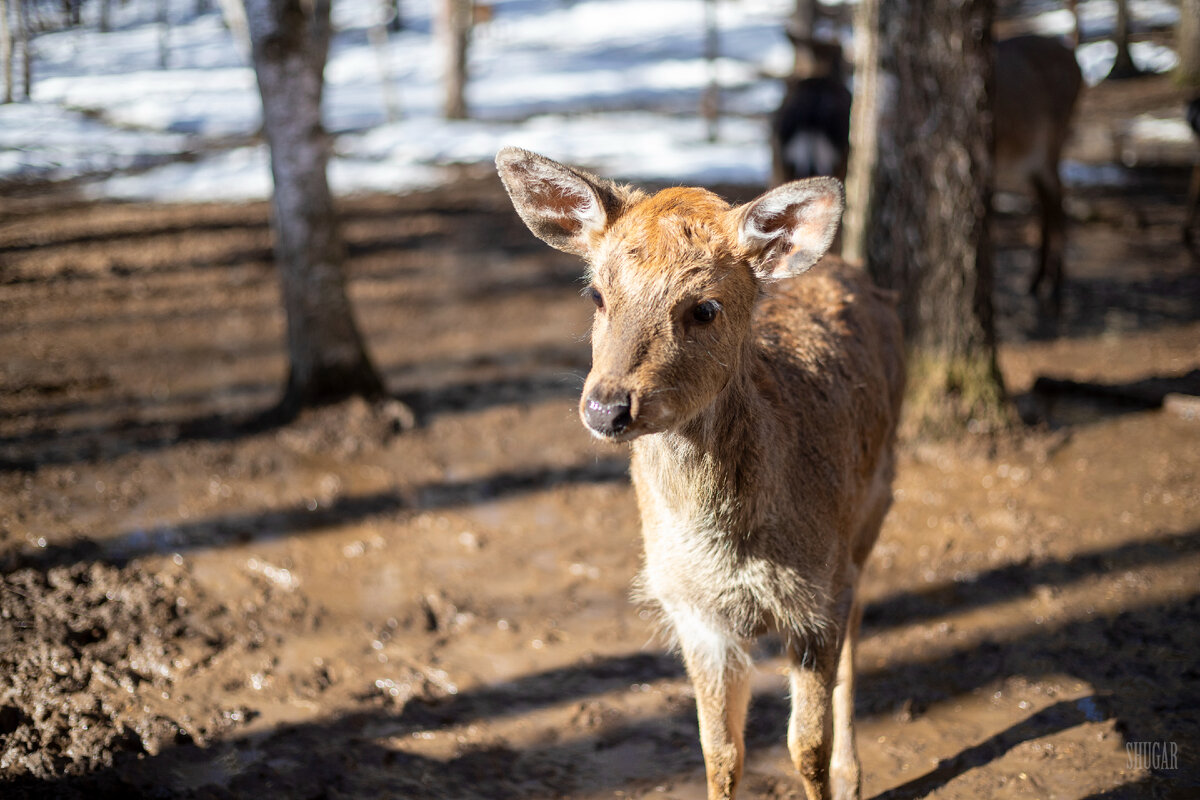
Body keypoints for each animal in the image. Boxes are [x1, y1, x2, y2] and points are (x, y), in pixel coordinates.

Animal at [494, 145, 902, 800]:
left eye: (704, 308)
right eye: (597, 295)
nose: (606, 407)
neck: (728, 549)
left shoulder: (817, 596)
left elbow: (806, 747)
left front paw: (831, 772)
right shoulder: (692, 608)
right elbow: (720, 750)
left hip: (873, 506)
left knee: (860, 625)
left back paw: (852, 775)